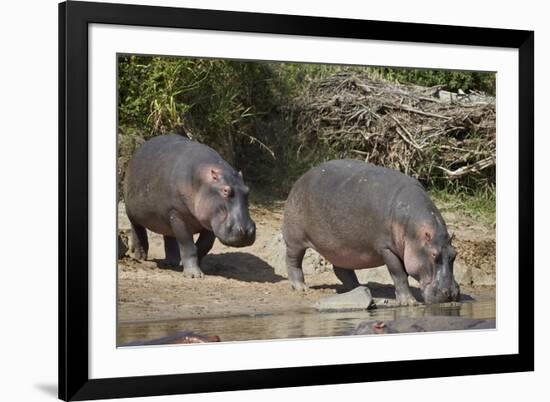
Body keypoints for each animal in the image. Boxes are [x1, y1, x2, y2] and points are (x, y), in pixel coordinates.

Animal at [124, 133, 258, 278]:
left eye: (248, 190)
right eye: (225, 191)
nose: (247, 231)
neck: (202, 181)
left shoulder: (209, 220)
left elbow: (204, 245)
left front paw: (186, 265)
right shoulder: (178, 215)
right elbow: (187, 245)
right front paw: (194, 275)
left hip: (167, 217)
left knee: (169, 238)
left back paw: (172, 262)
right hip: (135, 213)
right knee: (138, 231)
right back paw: (140, 257)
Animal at [284, 160, 462, 304]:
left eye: (454, 254)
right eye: (433, 255)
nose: (451, 293)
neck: (415, 234)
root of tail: (300, 179)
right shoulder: (387, 249)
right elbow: (399, 274)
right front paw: (409, 302)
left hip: (340, 248)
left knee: (342, 270)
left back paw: (357, 288)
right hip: (295, 239)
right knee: (293, 261)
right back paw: (301, 287)